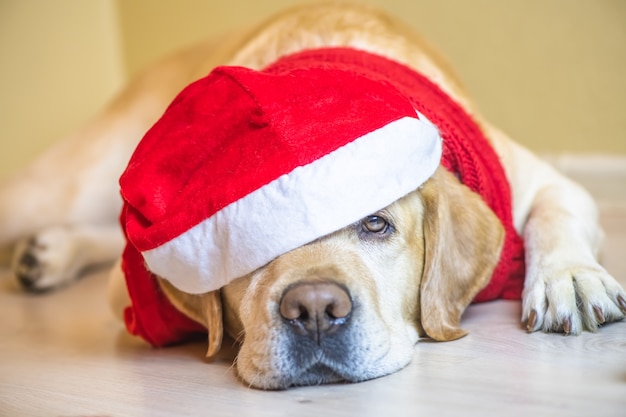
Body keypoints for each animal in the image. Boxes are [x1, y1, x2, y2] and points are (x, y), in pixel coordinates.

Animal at [1, 3, 624, 388]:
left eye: (376, 224)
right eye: (246, 245)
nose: (316, 311)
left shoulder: (542, 180)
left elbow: (556, 213)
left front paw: (569, 277)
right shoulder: (133, 283)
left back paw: (49, 253)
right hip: (53, 187)